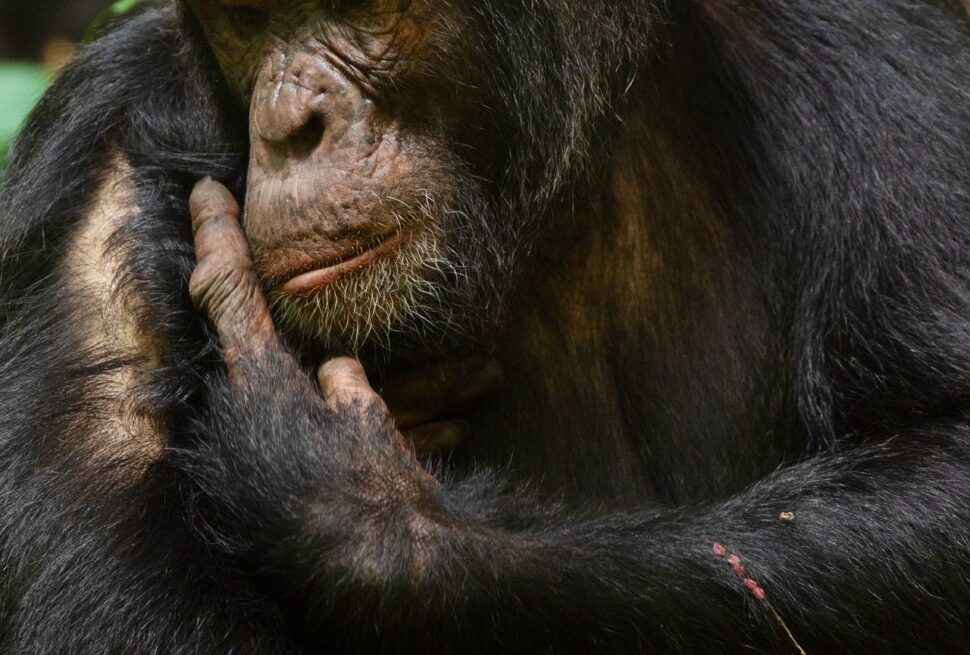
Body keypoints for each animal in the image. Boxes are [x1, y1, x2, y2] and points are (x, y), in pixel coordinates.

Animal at [0, 1, 964, 655]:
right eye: (246, 17)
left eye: (359, 0)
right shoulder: (107, 162)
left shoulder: (880, 67)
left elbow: (942, 460)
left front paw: (358, 506)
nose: (288, 122)